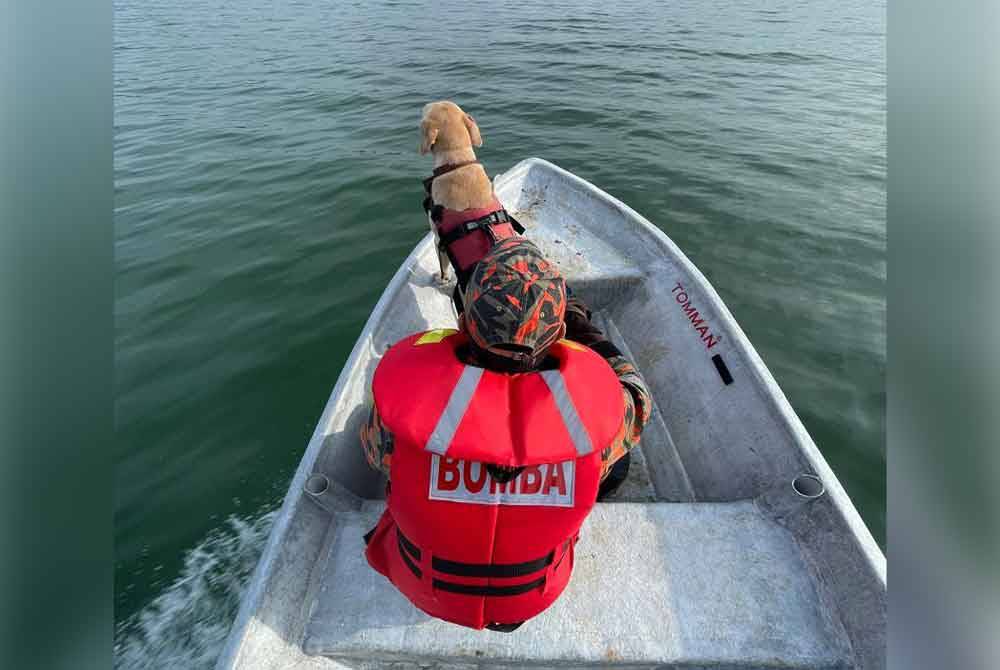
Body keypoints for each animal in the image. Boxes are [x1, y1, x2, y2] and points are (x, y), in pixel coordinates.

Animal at [420, 101, 524, 288]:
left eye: (426, 109)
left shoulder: (439, 241)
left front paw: (441, 280)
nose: (424, 103)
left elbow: (443, 268)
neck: (458, 163)